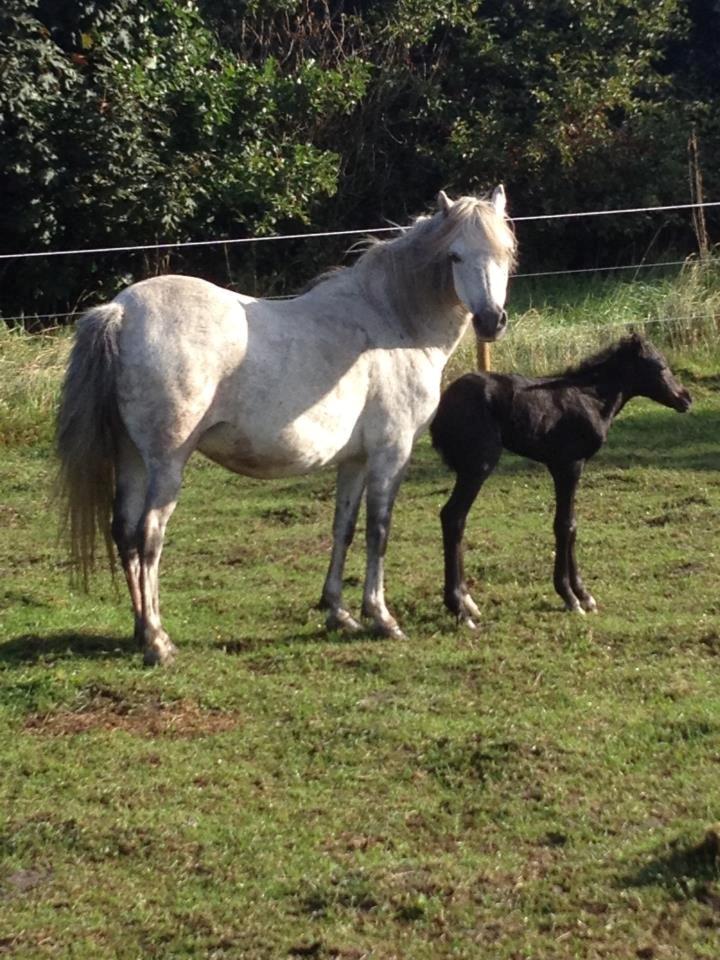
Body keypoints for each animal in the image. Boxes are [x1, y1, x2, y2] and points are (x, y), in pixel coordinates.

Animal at [56, 187, 517, 665]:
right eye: (455, 256)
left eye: (505, 252)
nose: (491, 320)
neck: (393, 323)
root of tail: (120, 311)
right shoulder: (391, 453)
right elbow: (379, 530)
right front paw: (382, 617)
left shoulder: (355, 460)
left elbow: (343, 529)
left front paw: (338, 612)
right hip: (165, 465)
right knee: (149, 536)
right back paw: (158, 641)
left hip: (130, 457)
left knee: (125, 532)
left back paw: (138, 631)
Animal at [430, 334, 691, 626]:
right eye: (659, 366)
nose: (685, 398)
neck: (591, 398)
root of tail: (442, 408)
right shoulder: (569, 465)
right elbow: (565, 525)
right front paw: (570, 597)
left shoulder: (560, 466)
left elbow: (571, 525)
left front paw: (584, 595)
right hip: (478, 466)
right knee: (453, 516)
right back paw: (460, 609)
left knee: (457, 520)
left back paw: (468, 602)